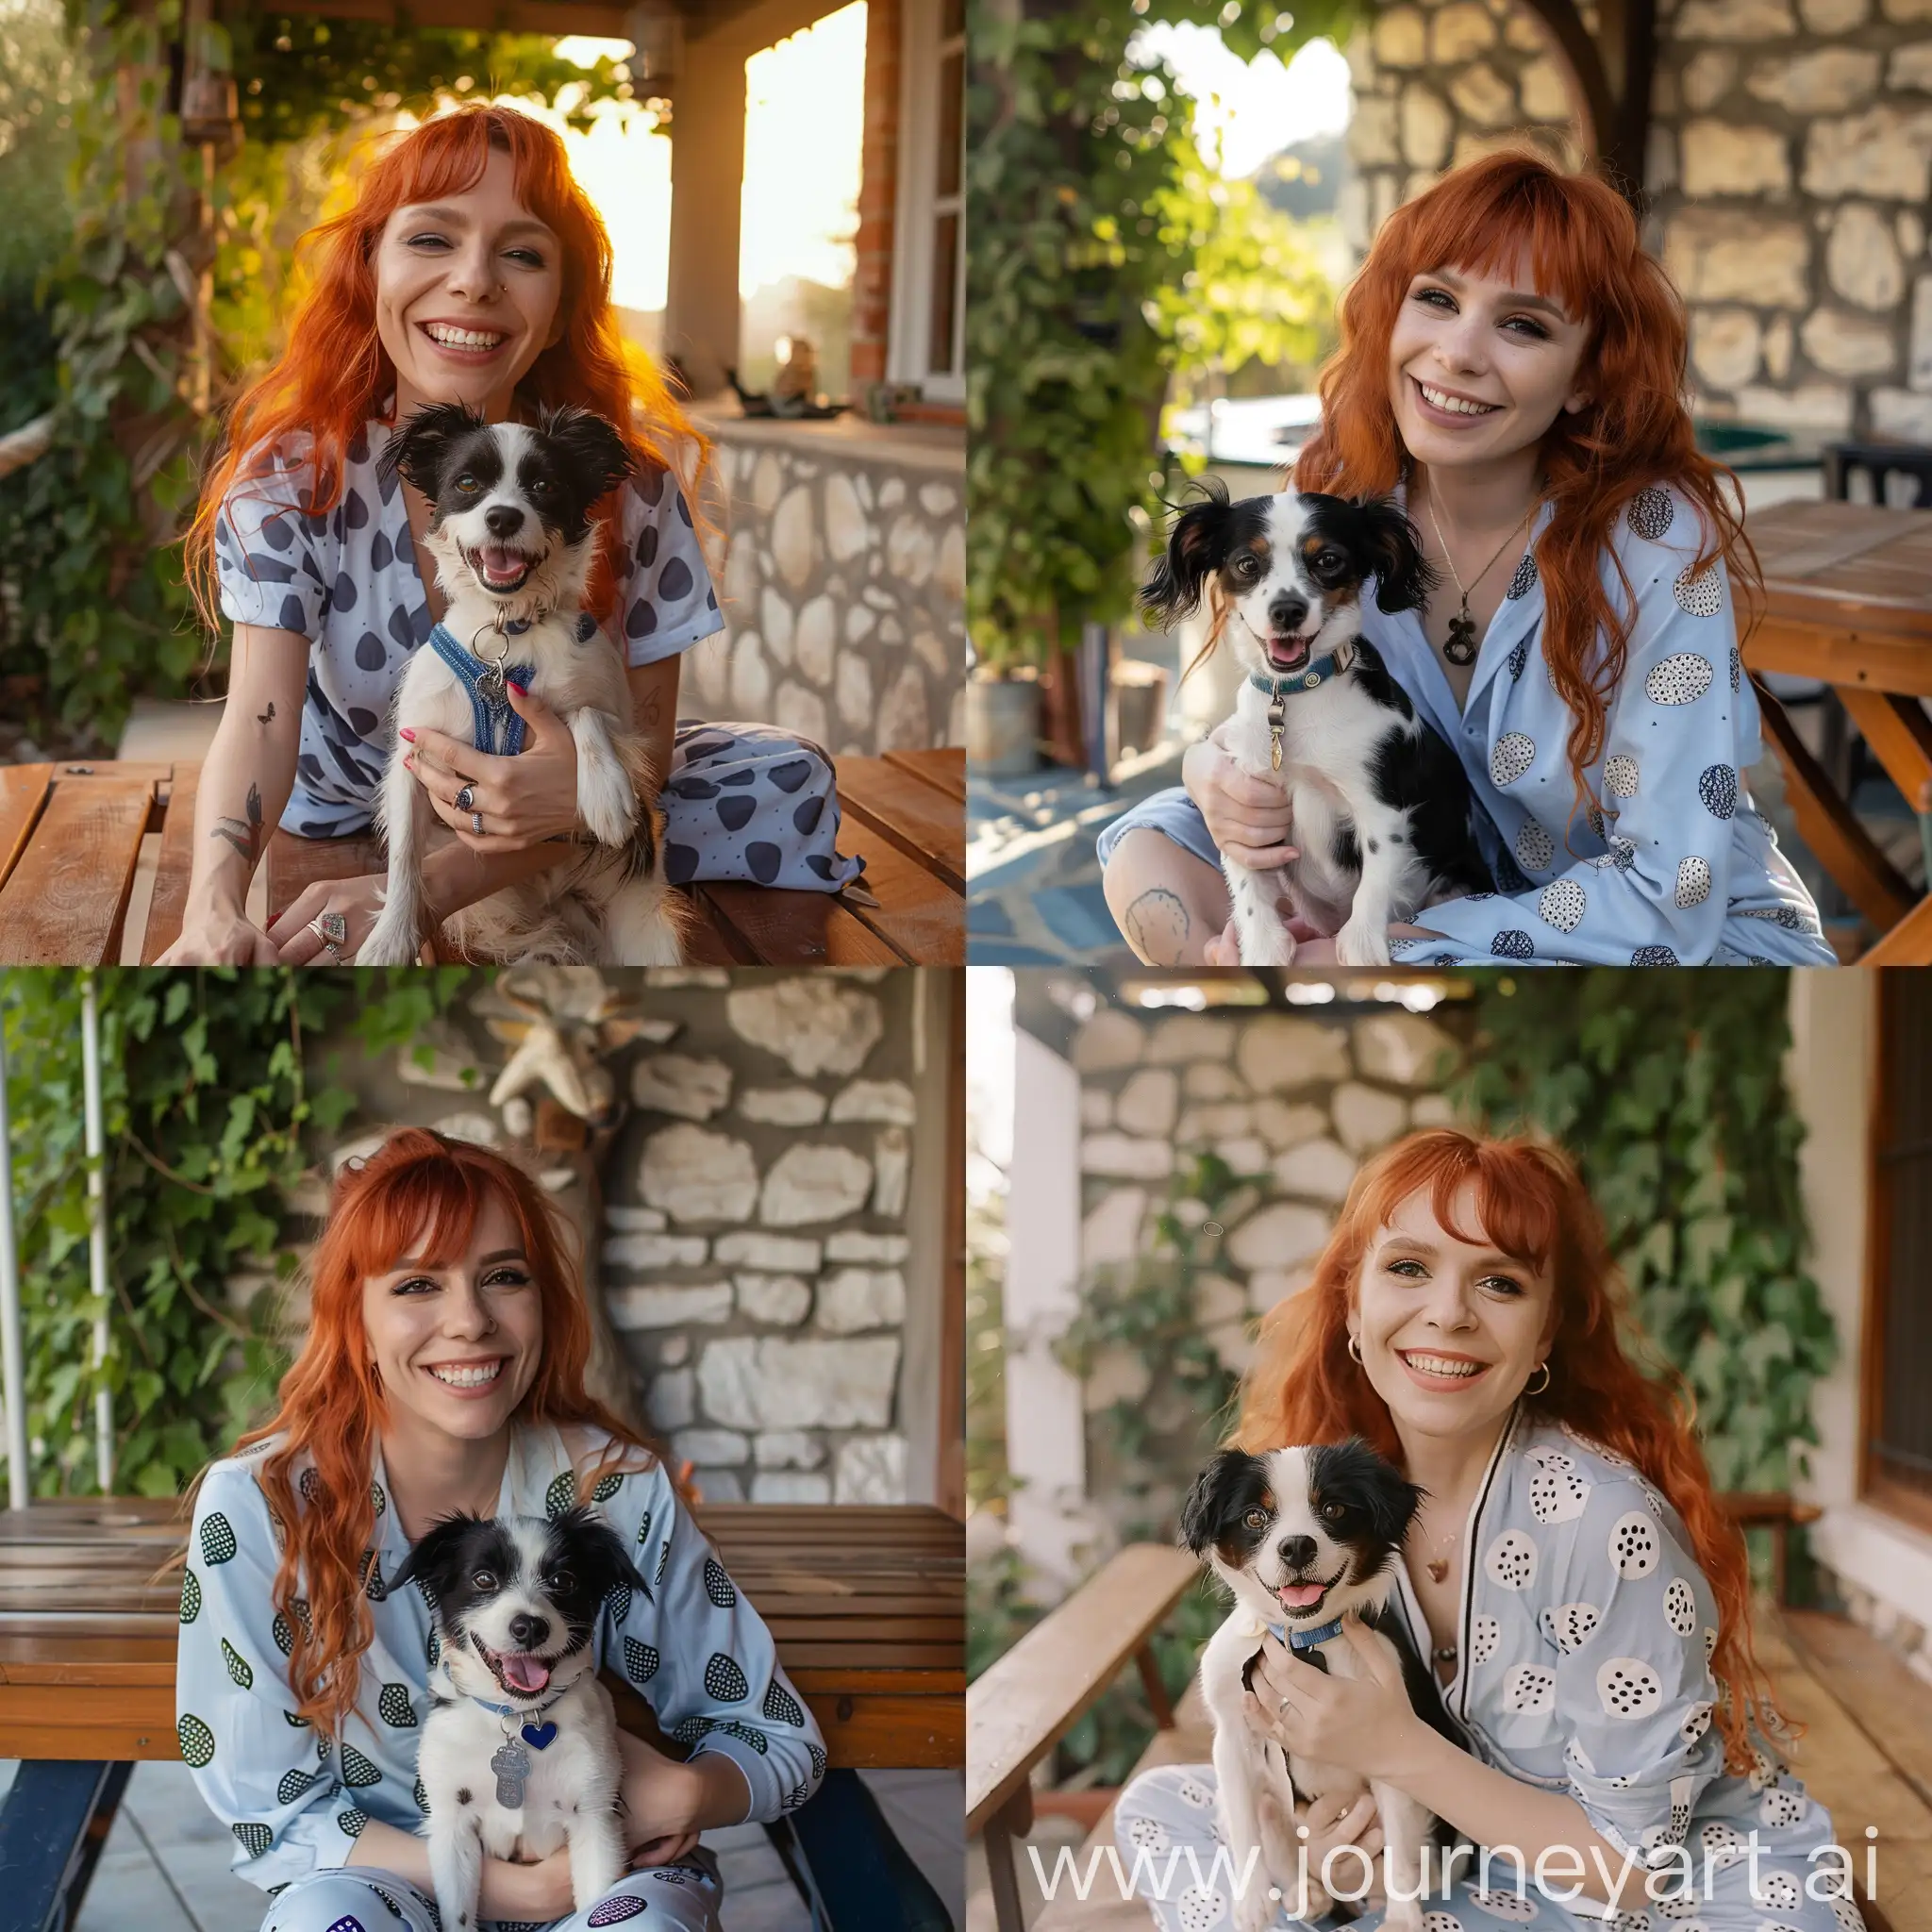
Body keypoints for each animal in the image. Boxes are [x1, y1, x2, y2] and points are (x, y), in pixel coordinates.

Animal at [360, 397, 688, 966]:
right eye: (468, 483)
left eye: (544, 486)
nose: (503, 516)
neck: (508, 628)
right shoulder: (415, 754)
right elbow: (403, 857)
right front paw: (390, 939)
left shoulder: (616, 713)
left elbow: (585, 713)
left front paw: (606, 794)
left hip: (644, 930)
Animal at [386, 1507, 657, 1932]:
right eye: (483, 1578)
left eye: (564, 1580)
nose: (529, 1626)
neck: (517, 1716)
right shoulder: (452, 1824)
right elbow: (457, 1913)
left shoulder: (595, 1819)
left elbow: (597, 1902)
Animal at [1143, 483, 1491, 966]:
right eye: (1247, 563)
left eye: (1328, 560)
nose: (1287, 610)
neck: (1295, 698)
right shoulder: (1248, 801)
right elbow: (1249, 884)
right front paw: (1263, 947)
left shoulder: (1379, 805)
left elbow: (1374, 880)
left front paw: (1362, 946)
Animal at [1174, 1444, 1453, 1924]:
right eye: (1254, 1517)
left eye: (1333, 1509)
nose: (1296, 1545)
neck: (1304, 1641)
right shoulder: (1232, 1740)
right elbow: (1245, 1828)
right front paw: (1251, 1902)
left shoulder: (1393, 1750)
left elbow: (1400, 1847)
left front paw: (1403, 1919)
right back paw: (1307, 1895)